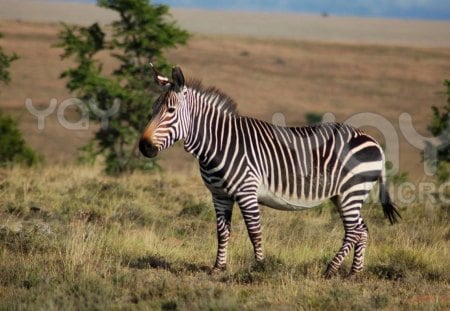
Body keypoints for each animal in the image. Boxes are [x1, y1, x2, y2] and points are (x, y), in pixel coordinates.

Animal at [139, 64, 400, 280]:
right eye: (153, 109)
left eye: (171, 110)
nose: (143, 147)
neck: (219, 144)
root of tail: (373, 141)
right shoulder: (219, 195)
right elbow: (222, 232)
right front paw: (218, 268)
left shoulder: (247, 191)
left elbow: (254, 231)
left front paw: (259, 267)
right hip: (346, 195)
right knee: (362, 230)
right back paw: (354, 273)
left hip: (351, 192)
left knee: (354, 231)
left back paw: (331, 268)